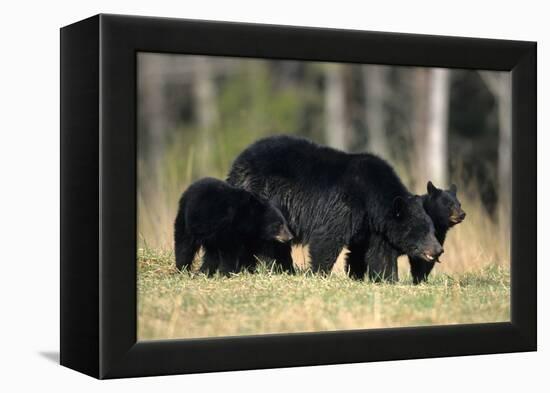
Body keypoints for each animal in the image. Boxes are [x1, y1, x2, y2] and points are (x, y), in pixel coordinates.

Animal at [227, 136, 444, 280]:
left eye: (432, 229)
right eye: (422, 231)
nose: (438, 250)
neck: (373, 199)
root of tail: (237, 162)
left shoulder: (374, 226)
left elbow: (379, 253)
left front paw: (386, 278)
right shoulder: (345, 205)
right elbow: (328, 238)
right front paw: (319, 273)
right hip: (263, 196)